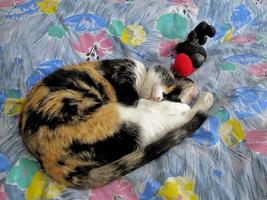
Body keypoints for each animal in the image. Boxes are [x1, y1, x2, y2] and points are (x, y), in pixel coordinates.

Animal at [19, 58, 214, 189]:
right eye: (171, 93)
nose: (159, 98)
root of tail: (54, 165)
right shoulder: (129, 85)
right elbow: (151, 101)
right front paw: (175, 104)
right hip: (123, 117)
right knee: (181, 119)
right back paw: (204, 100)